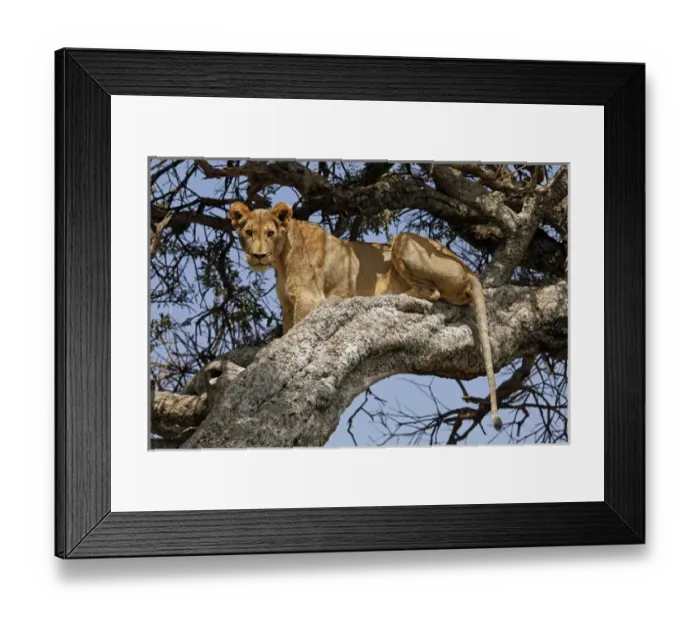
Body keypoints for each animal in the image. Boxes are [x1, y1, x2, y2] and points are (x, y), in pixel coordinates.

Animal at [229, 201, 502, 430]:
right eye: (248, 232)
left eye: (270, 233)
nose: (258, 256)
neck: (282, 258)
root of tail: (468, 270)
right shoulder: (287, 305)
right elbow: (289, 333)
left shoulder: (309, 298)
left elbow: (297, 332)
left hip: (403, 240)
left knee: (430, 291)